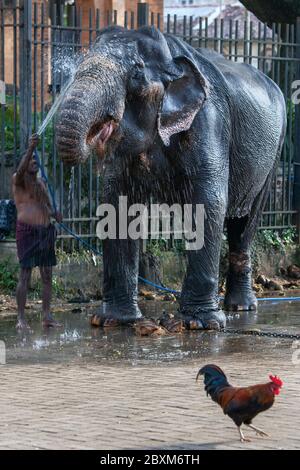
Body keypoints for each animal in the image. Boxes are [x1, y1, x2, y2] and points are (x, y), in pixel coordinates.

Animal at [55, 23, 288, 328]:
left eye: (136, 74)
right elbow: (116, 206)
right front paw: (111, 321)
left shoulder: (209, 120)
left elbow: (210, 202)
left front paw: (200, 323)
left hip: (274, 153)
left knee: (245, 221)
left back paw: (241, 308)